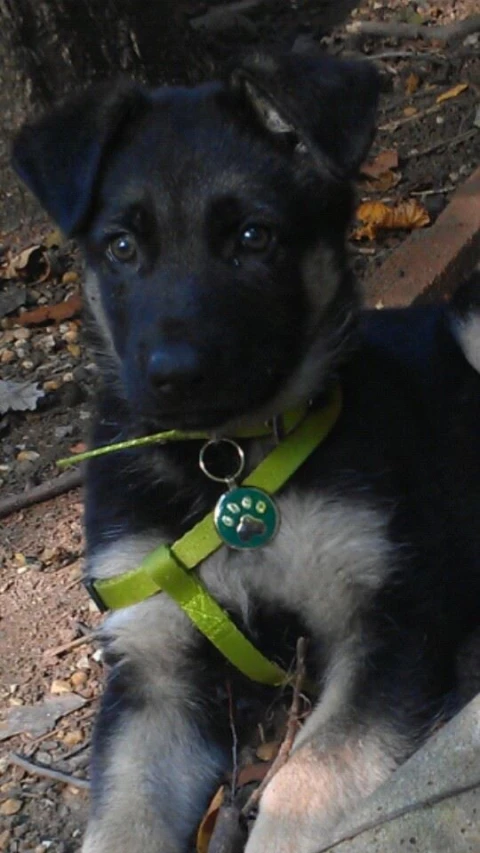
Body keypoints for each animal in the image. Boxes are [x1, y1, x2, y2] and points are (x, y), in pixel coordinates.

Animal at [12, 53, 480, 852]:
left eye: (254, 237)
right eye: (121, 247)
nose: (173, 376)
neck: (226, 461)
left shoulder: (388, 624)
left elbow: (304, 777)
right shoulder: (154, 668)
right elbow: (125, 818)